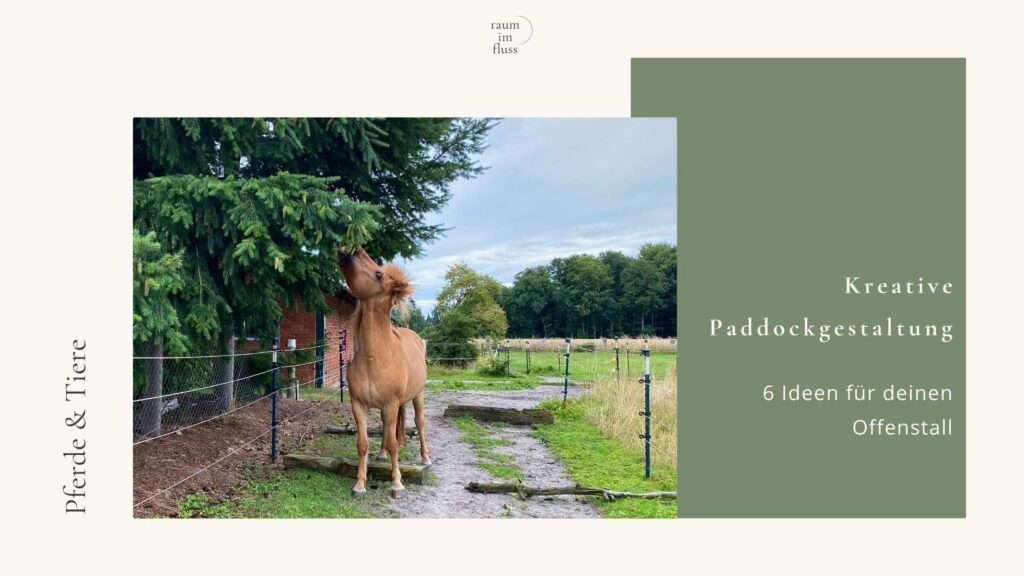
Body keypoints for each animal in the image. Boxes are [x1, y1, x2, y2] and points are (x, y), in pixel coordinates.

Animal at [338, 246, 430, 498]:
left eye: (378, 274)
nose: (352, 250)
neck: (375, 358)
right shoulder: (359, 405)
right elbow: (363, 444)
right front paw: (359, 484)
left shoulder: (391, 404)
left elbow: (393, 443)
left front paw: (397, 484)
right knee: (385, 430)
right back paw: (380, 456)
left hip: (418, 396)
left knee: (419, 423)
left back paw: (426, 458)